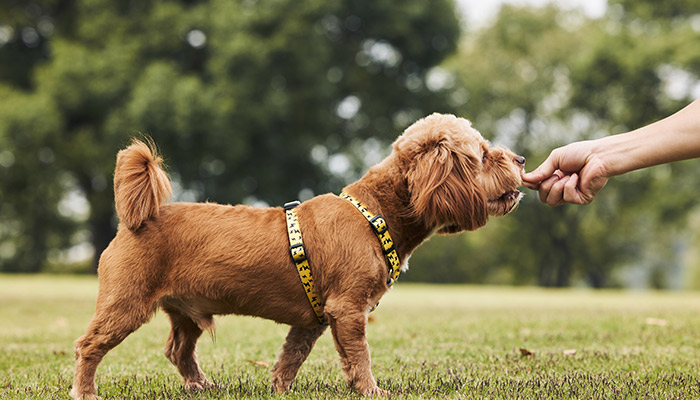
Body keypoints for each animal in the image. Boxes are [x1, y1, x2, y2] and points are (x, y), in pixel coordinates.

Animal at [69, 111, 524, 396]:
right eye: (484, 155)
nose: (520, 158)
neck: (373, 214)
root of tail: (137, 218)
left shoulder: (315, 319)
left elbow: (291, 357)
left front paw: (279, 389)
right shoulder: (347, 308)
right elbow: (359, 357)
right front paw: (372, 390)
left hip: (186, 311)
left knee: (178, 351)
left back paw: (201, 386)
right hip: (125, 303)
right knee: (87, 346)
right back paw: (85, 391)